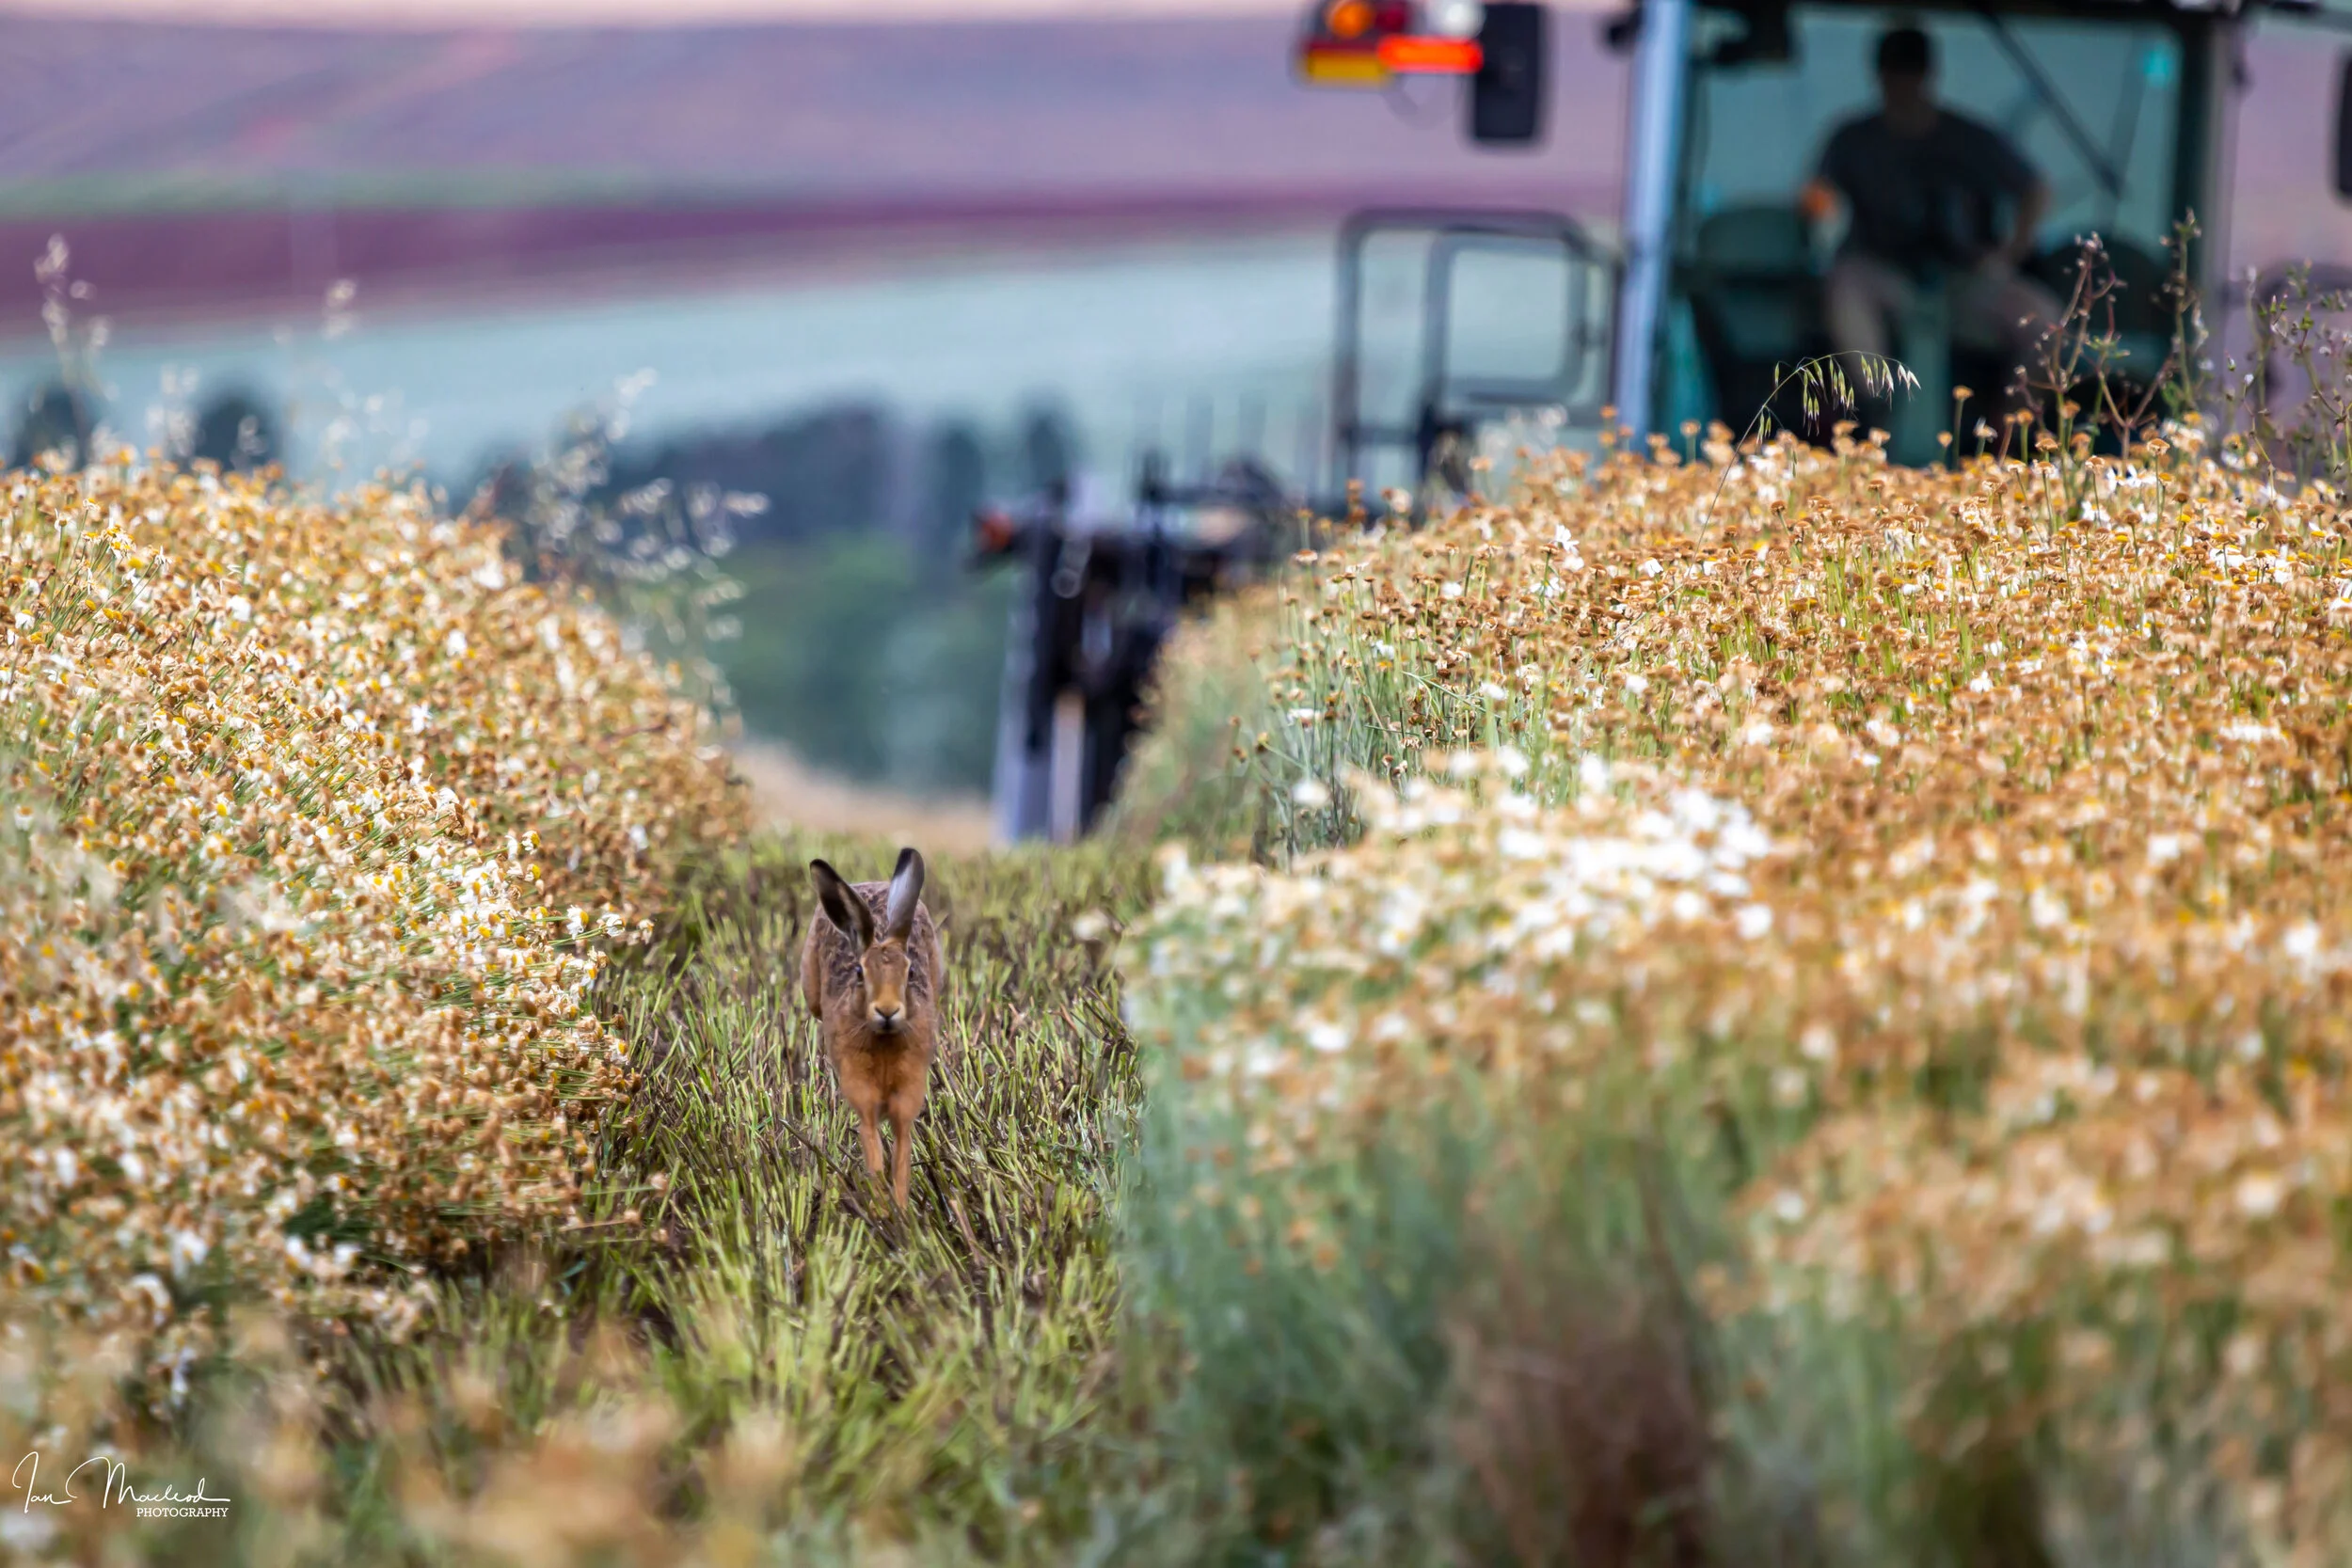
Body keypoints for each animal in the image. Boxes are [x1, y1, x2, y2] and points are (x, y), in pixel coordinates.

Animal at [801, 848, 943, 1209]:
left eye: (910, 973)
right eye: (859, 973)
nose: (887, 1010)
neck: (885, 1041)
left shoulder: (907, 1100)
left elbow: (902, 1159)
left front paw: (902, 1213)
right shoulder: (862, 1097)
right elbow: (875, 1157)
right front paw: (881, 1211)